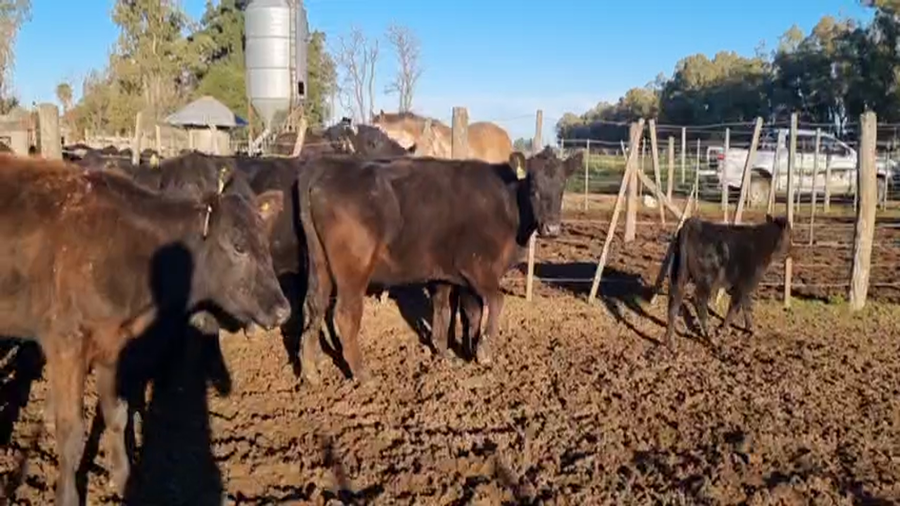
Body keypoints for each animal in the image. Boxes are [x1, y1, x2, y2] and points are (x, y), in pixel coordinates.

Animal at [0, 155, 290, 506]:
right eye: (238, 246)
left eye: (266, 244)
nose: (283, 310)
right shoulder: (66, 343)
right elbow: (70, 431)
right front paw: (68, 497)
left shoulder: (113, 344)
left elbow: (117, 413)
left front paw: (125, 480)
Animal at [297, 147, 583, 382]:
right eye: (533, 188)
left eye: (562, 187)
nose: (552, 228)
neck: (505, 206)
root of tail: (326, 169)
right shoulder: (477, 268)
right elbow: (495, 302)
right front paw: (483, 351)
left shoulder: (451, 276)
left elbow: (455, 312)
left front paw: (455, 352)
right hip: (354, 269)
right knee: (345, 314)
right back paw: (363, 374)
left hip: (320, 266)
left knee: (314, 307)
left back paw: (310, 371)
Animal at [649, 215, 792, 350]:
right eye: (789, 235)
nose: (790, 252)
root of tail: (693, 223)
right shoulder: (744, 284)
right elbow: (735, 307)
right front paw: (722, 329)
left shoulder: (744, 287)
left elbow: (746, 306)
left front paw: (750, 328)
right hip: (705, 281)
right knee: (699, 302)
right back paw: (710, 337)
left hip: (679, 275)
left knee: (674, 302)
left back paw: (669, 342)